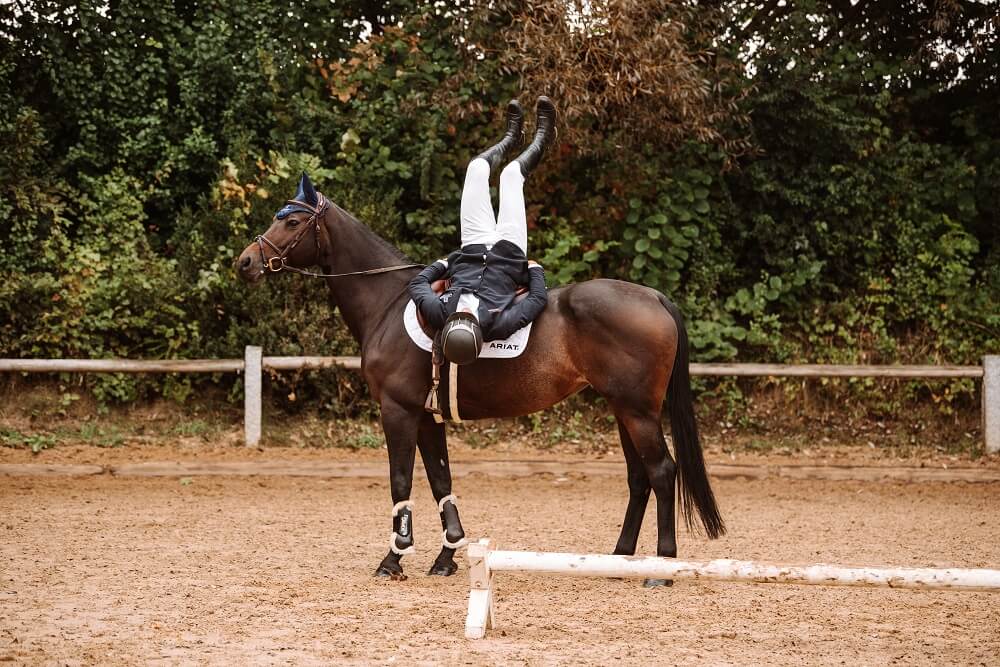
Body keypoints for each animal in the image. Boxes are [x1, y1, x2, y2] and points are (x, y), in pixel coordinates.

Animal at [240, 188, 728, 584]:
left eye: (292, 222)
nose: (246, 261)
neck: (389, 302)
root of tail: (654, 296)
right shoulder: (427, 416)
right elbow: (441, 480)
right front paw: (446, 557)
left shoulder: (398, 411)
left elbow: (401, 481)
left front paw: (394, 559)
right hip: (623, 409)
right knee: (639, 477)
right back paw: (619, 560)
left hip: (637, 411)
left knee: (661, 472)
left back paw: (661, 570)